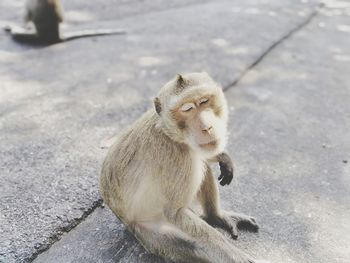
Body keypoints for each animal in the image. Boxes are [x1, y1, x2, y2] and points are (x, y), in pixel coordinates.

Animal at [100, 72, 266, 263]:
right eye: (187, 109)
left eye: (204, 101)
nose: (207, 127)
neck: (171, 133)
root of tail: (123, 219)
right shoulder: (176, 157)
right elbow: (176, 213)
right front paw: (237, 256)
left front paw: (223, 156)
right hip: (147, 232)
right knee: (192, 245)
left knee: (200, 163)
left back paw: (215, 216)